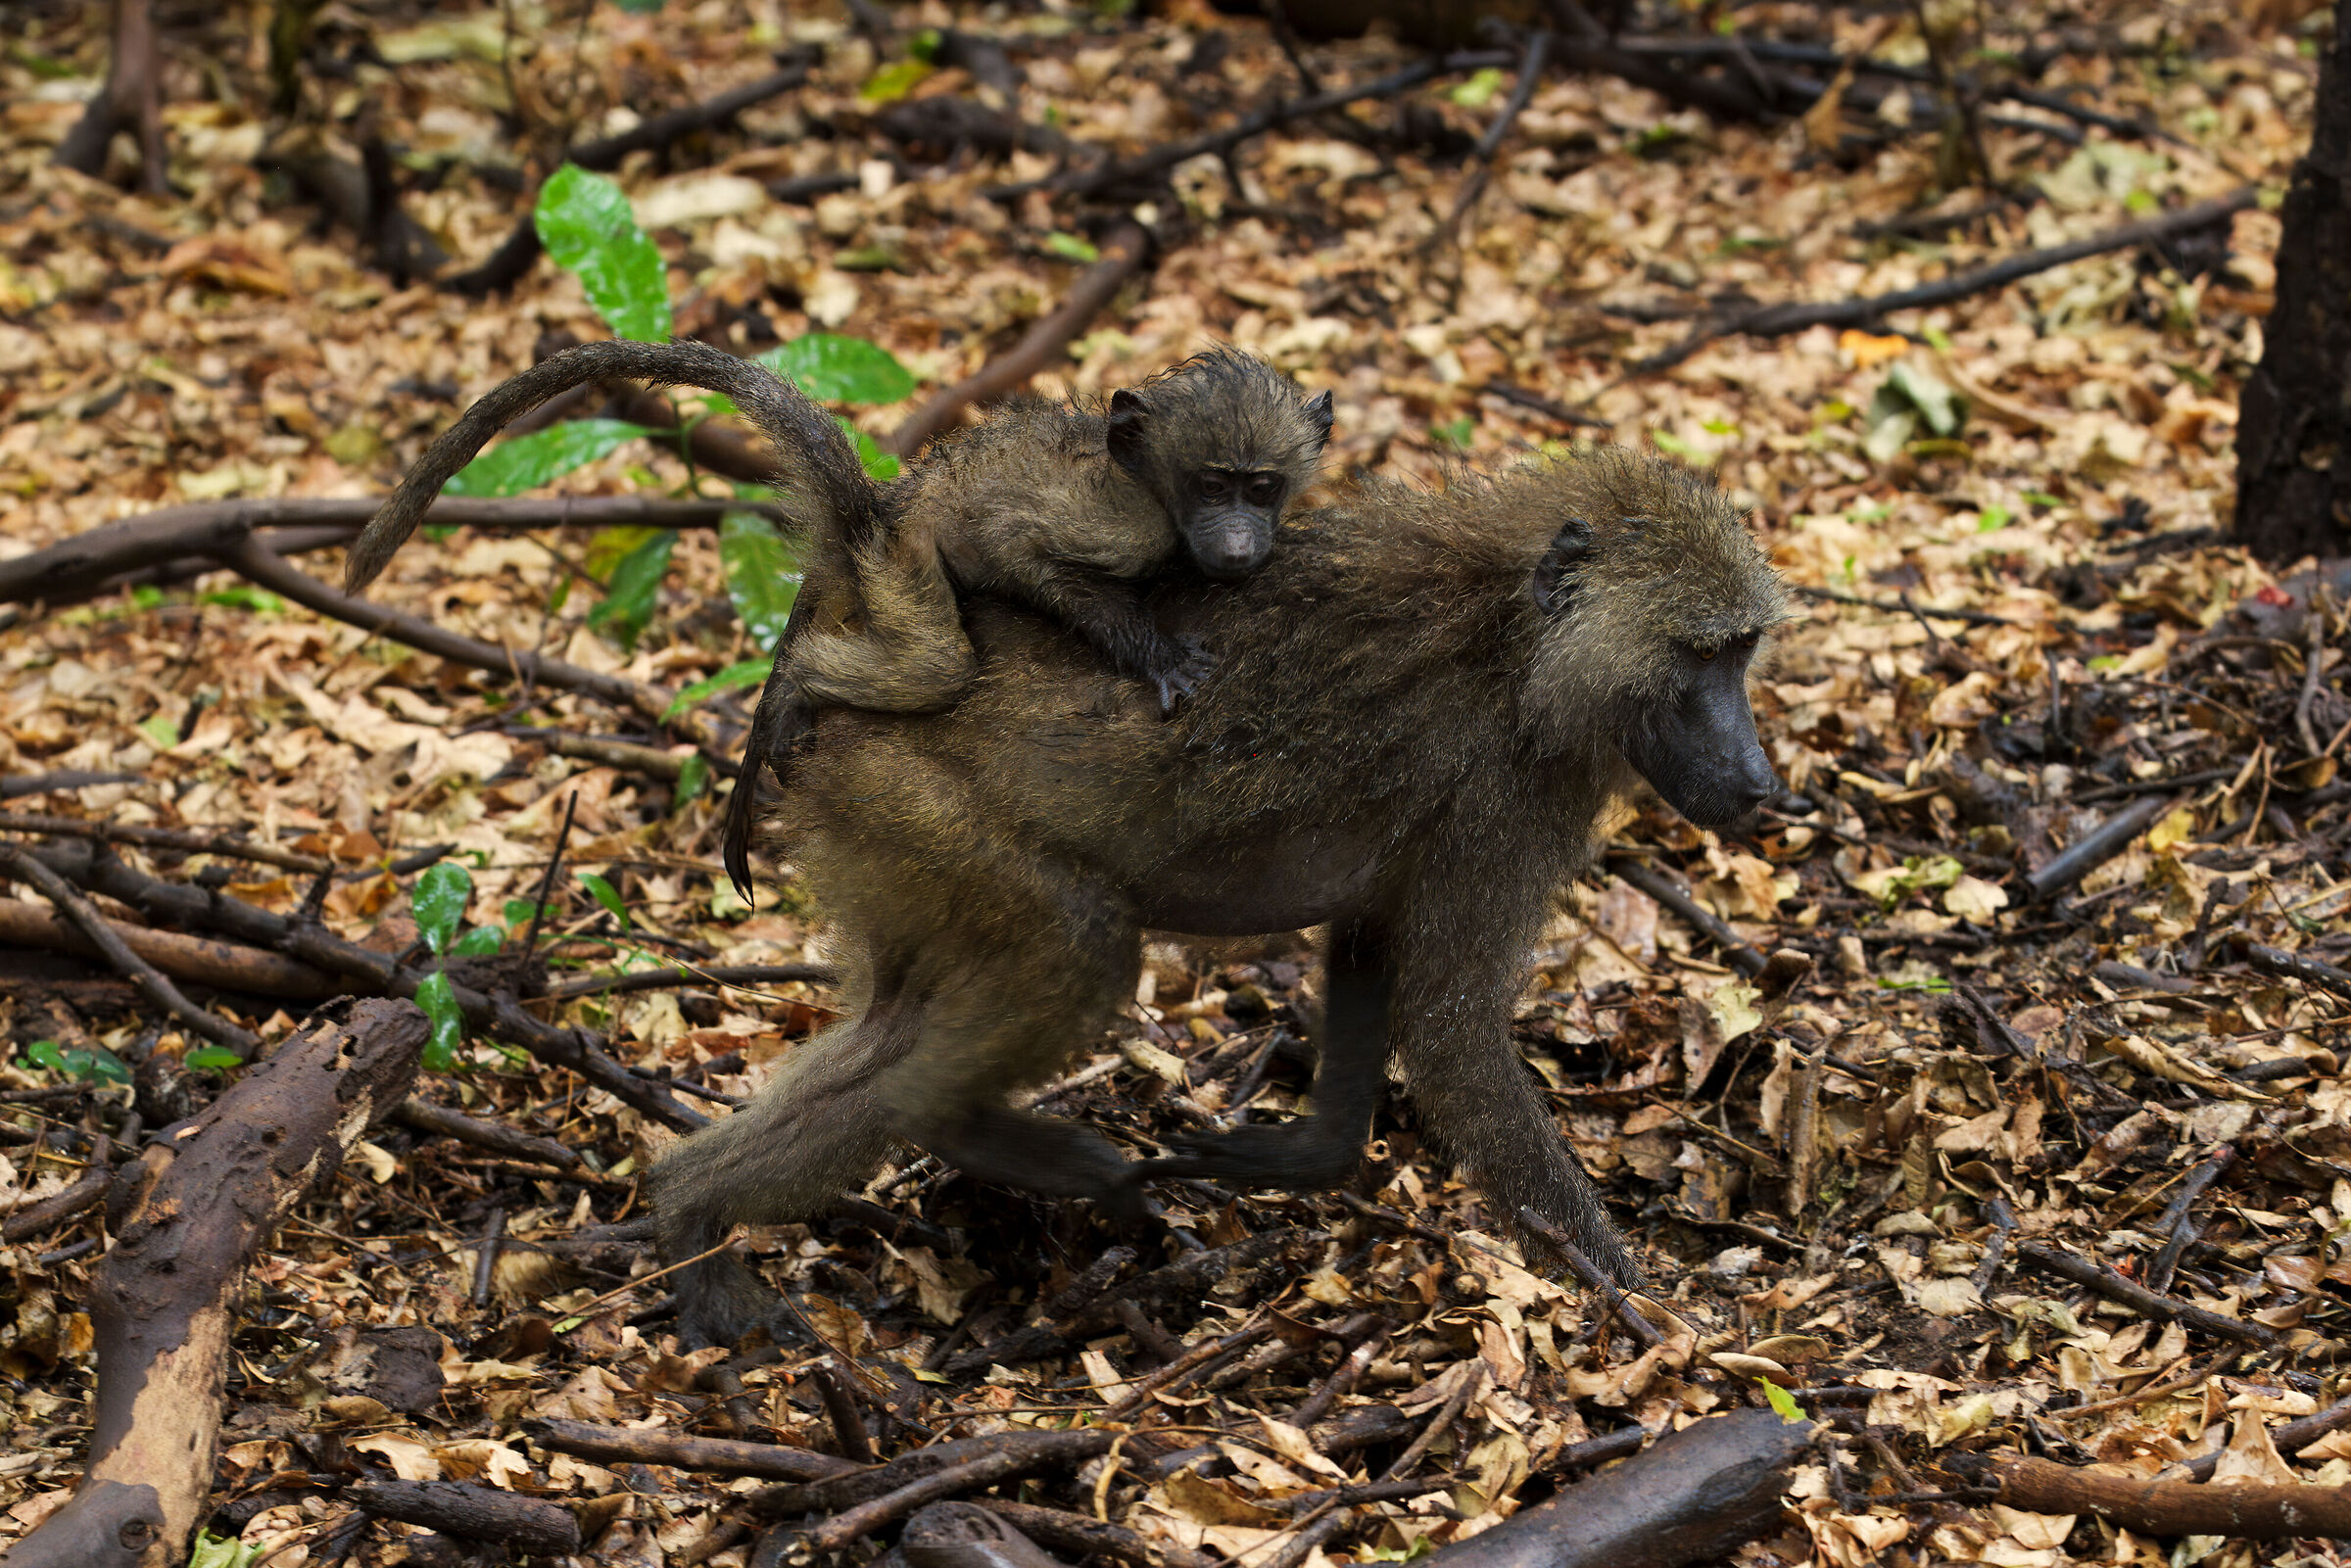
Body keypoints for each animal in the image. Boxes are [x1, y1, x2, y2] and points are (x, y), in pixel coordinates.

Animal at [647, 443, 1789, 1347]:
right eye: (1698, 654)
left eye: (1741, 649)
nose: (1759, 779)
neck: (1521, 635)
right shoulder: (1508, 790)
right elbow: (1452, 1026)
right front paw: (1653, 1305)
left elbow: (1370, 945)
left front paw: (1299, 1155)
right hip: (919, 806)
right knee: (1078, 947)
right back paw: (949, 1132)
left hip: (879, 826)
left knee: (886, 1032)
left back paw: (688, 1217)